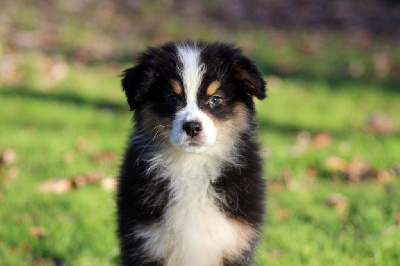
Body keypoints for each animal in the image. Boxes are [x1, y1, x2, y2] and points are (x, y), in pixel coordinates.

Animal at [117, 41, 268, 266]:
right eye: (172, 98)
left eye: (215, 99)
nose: (192, 127)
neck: (192, 166)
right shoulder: (144, 242)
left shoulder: (237, 242)